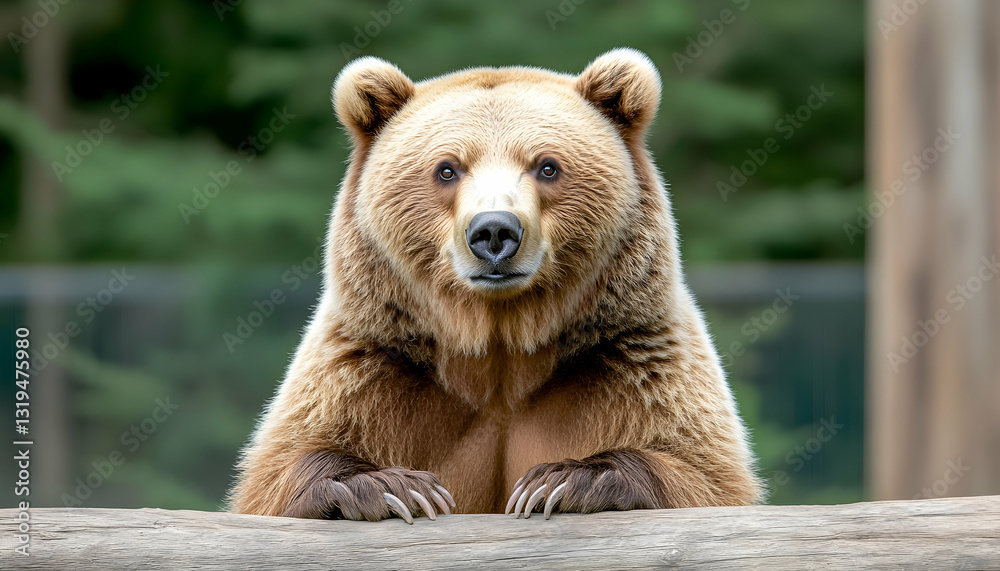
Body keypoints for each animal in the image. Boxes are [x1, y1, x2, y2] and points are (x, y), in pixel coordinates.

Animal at [229, 48, 762, 523]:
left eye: (547, 165)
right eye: (447, 168)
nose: (494, 232)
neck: (499, 348)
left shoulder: (625, 361)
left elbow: (703, 476)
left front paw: (561, 481)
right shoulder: (375, 368)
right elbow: (277, 478)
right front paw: (390, 486)